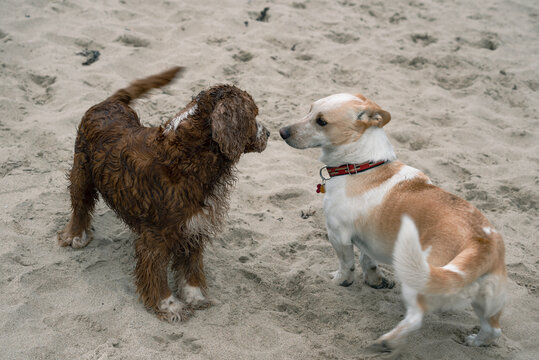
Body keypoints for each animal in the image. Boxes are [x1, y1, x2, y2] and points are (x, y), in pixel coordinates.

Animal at [280, 93, 508, 352]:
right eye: (309, 109)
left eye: (321, 121)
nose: (281, 131)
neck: (361, 165)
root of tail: (481, 243)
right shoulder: (367, 238)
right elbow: (367, 260)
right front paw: (375, 281)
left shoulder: (337, 234)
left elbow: (346, 264)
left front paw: (339, 281)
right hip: (486, 302)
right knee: (494, 330)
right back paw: (474, 342)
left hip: (418, 278)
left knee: (416, 318)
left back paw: (386, 342)